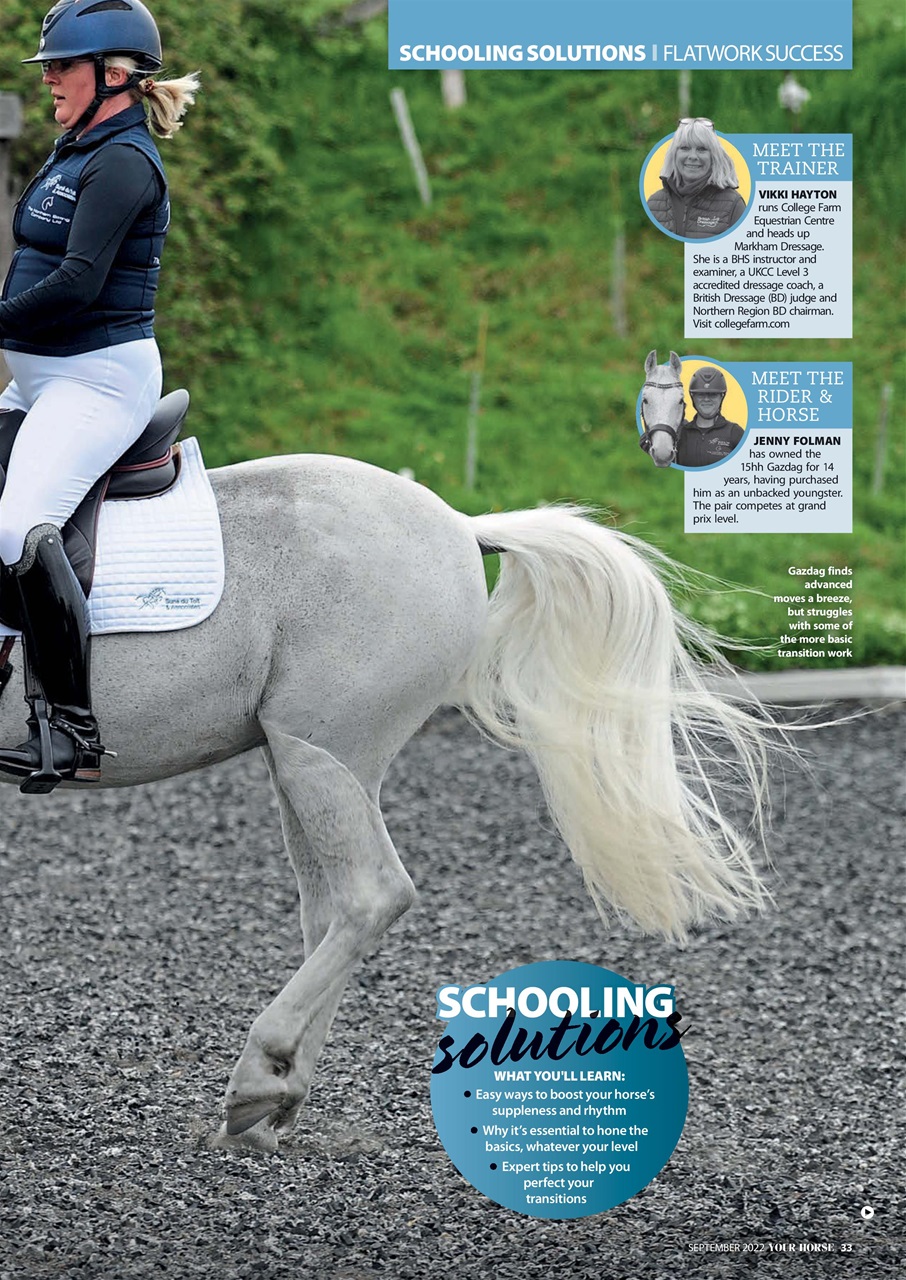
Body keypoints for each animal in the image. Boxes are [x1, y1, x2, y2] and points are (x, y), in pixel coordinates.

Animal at [0, 451, 774, 1152]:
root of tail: (461, 525)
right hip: (305, 758)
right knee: (332, 912)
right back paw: (277, 1100)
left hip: (327, 753)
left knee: (371, 895)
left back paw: (258, 1075)